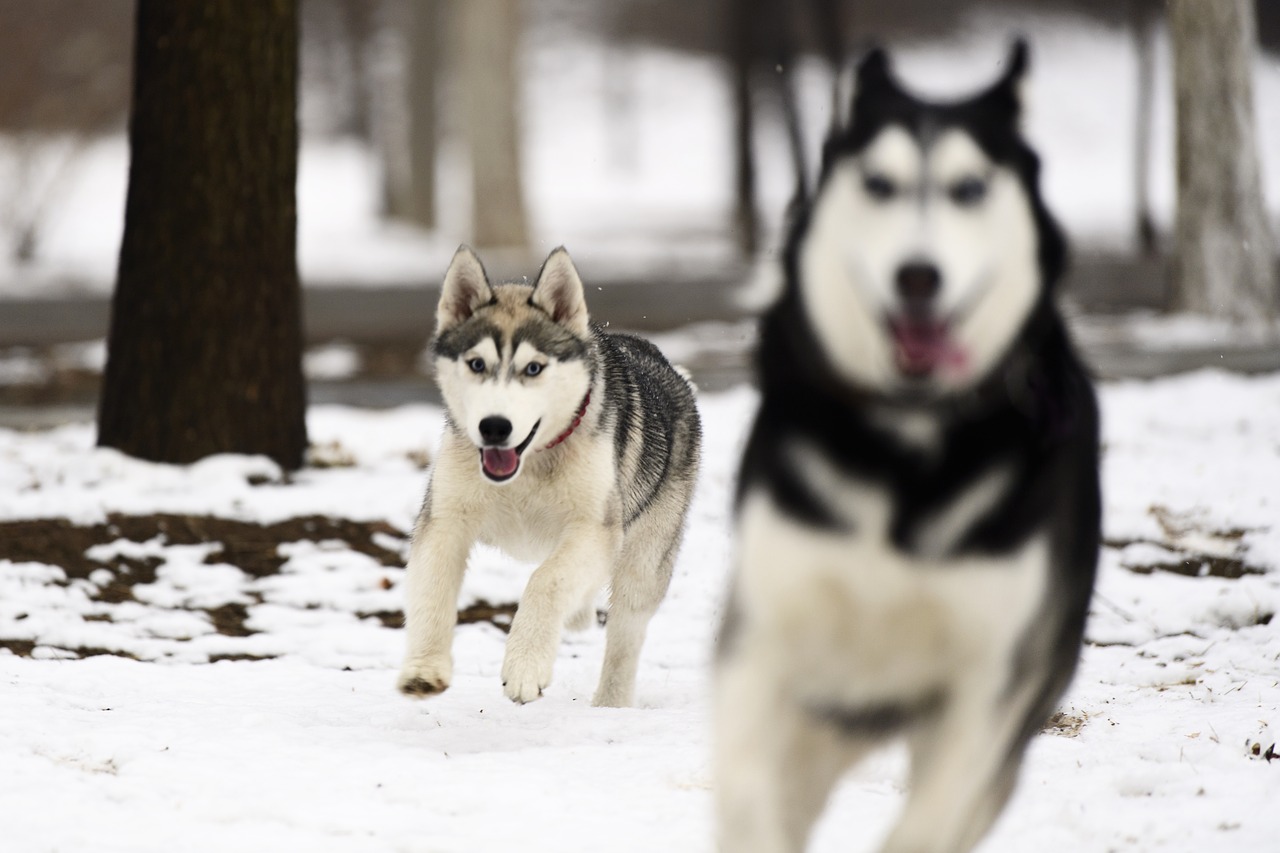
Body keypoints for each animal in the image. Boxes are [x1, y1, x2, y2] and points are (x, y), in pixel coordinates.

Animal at [396, 244, 701, 701]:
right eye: (476, 364)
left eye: (534, 368)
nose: (494, 426)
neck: (528, 467)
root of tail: (671, 370)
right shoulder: (444, 520)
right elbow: (432, 589)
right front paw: (424, 668)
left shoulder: (594, 529)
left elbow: (546, 581)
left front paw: (525, 666)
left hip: (644, 560)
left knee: (625, 635)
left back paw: (610, 704)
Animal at [716, 41, 1105, 850]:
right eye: (879, 183)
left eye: (968, 187)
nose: (918, 275)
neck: (904, 441)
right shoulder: (766, 636)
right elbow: (745, 787)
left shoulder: (988, 687)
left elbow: (929, 820)